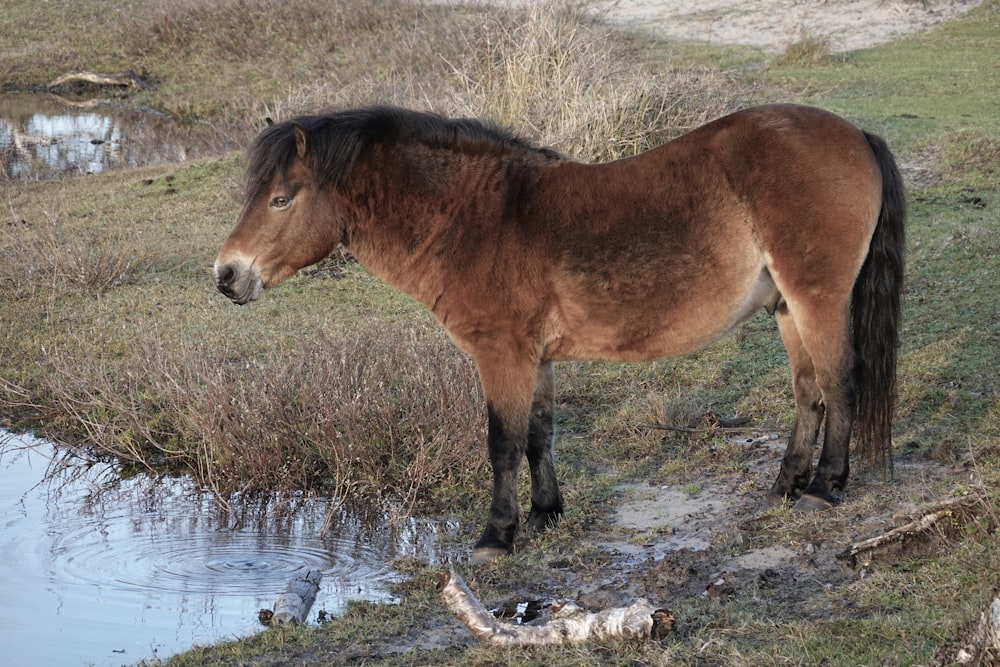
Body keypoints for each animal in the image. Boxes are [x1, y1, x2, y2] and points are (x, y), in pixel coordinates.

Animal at [217, 105, 908, 564]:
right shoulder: (536, 358)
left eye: (280, 199)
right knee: (808, 391)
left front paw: (497, 535)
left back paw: (824, 488)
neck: (474, 219)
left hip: (817, 299)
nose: (227, 276)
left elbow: (501, 442)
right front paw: (547, 514)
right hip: (787, 307)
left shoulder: (501, 354)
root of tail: (853, 132)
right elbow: (538, 434)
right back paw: (787, 483)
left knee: (840, 381)